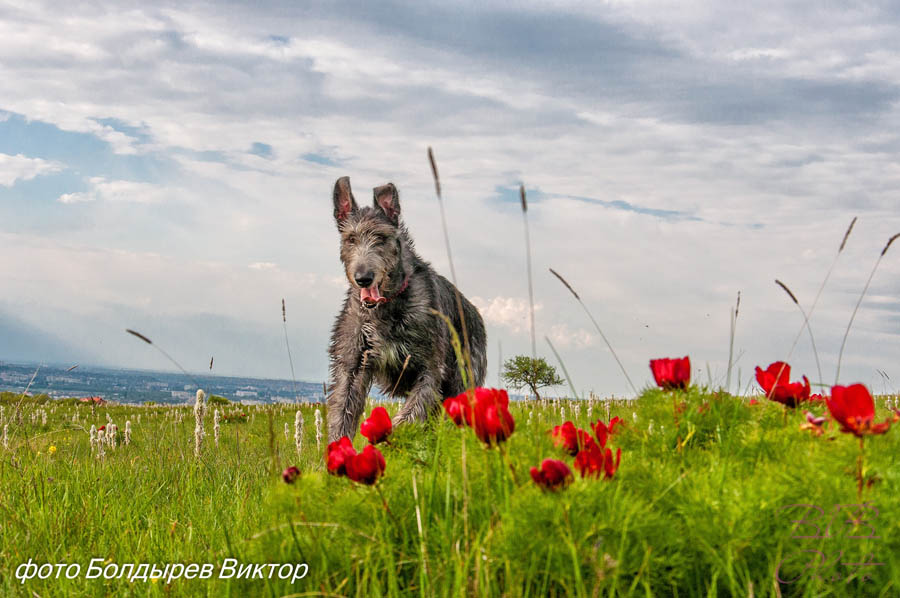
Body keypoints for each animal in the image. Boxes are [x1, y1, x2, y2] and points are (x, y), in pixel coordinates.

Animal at [326, 176, 488, 442]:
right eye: (350, 238)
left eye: (381, 238)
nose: (363, 278)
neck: (387, 306)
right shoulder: (352, 364)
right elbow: (342, 410)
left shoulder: (430, 367)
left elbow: (410, 414)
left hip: (464, 376)